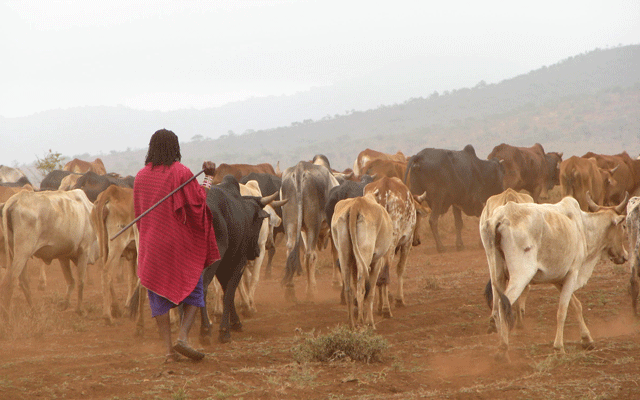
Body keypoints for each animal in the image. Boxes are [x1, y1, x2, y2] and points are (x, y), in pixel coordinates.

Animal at [198, 176, 282, 344]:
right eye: (261, 221)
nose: (256, 251)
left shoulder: (225, 264)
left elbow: (227, 290)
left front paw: (234, 320)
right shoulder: (239, 260)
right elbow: (233, 289)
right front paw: (227, 329)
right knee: (202, 288)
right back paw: (205, 331)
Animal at [330, 193, 396, 328]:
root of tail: (356, 205)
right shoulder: (377, 262)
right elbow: (371, 293)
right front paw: (370, 322)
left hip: (344, 256)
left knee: (349, 289)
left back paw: (351, 324)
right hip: (366, 255)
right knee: (362, 287)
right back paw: (361, 321)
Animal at [482, 195, 628, 360]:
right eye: (623, 227)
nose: (624, 256)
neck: (583, 228)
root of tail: (501, 217)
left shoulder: (559, 278)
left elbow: (576, 305)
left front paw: (587, 340)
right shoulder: (573, 273)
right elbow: (562, 311)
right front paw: (559, 347)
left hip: (497, 275)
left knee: (495, 309)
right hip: (521, 276)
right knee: (503, 305)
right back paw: (503, 348)